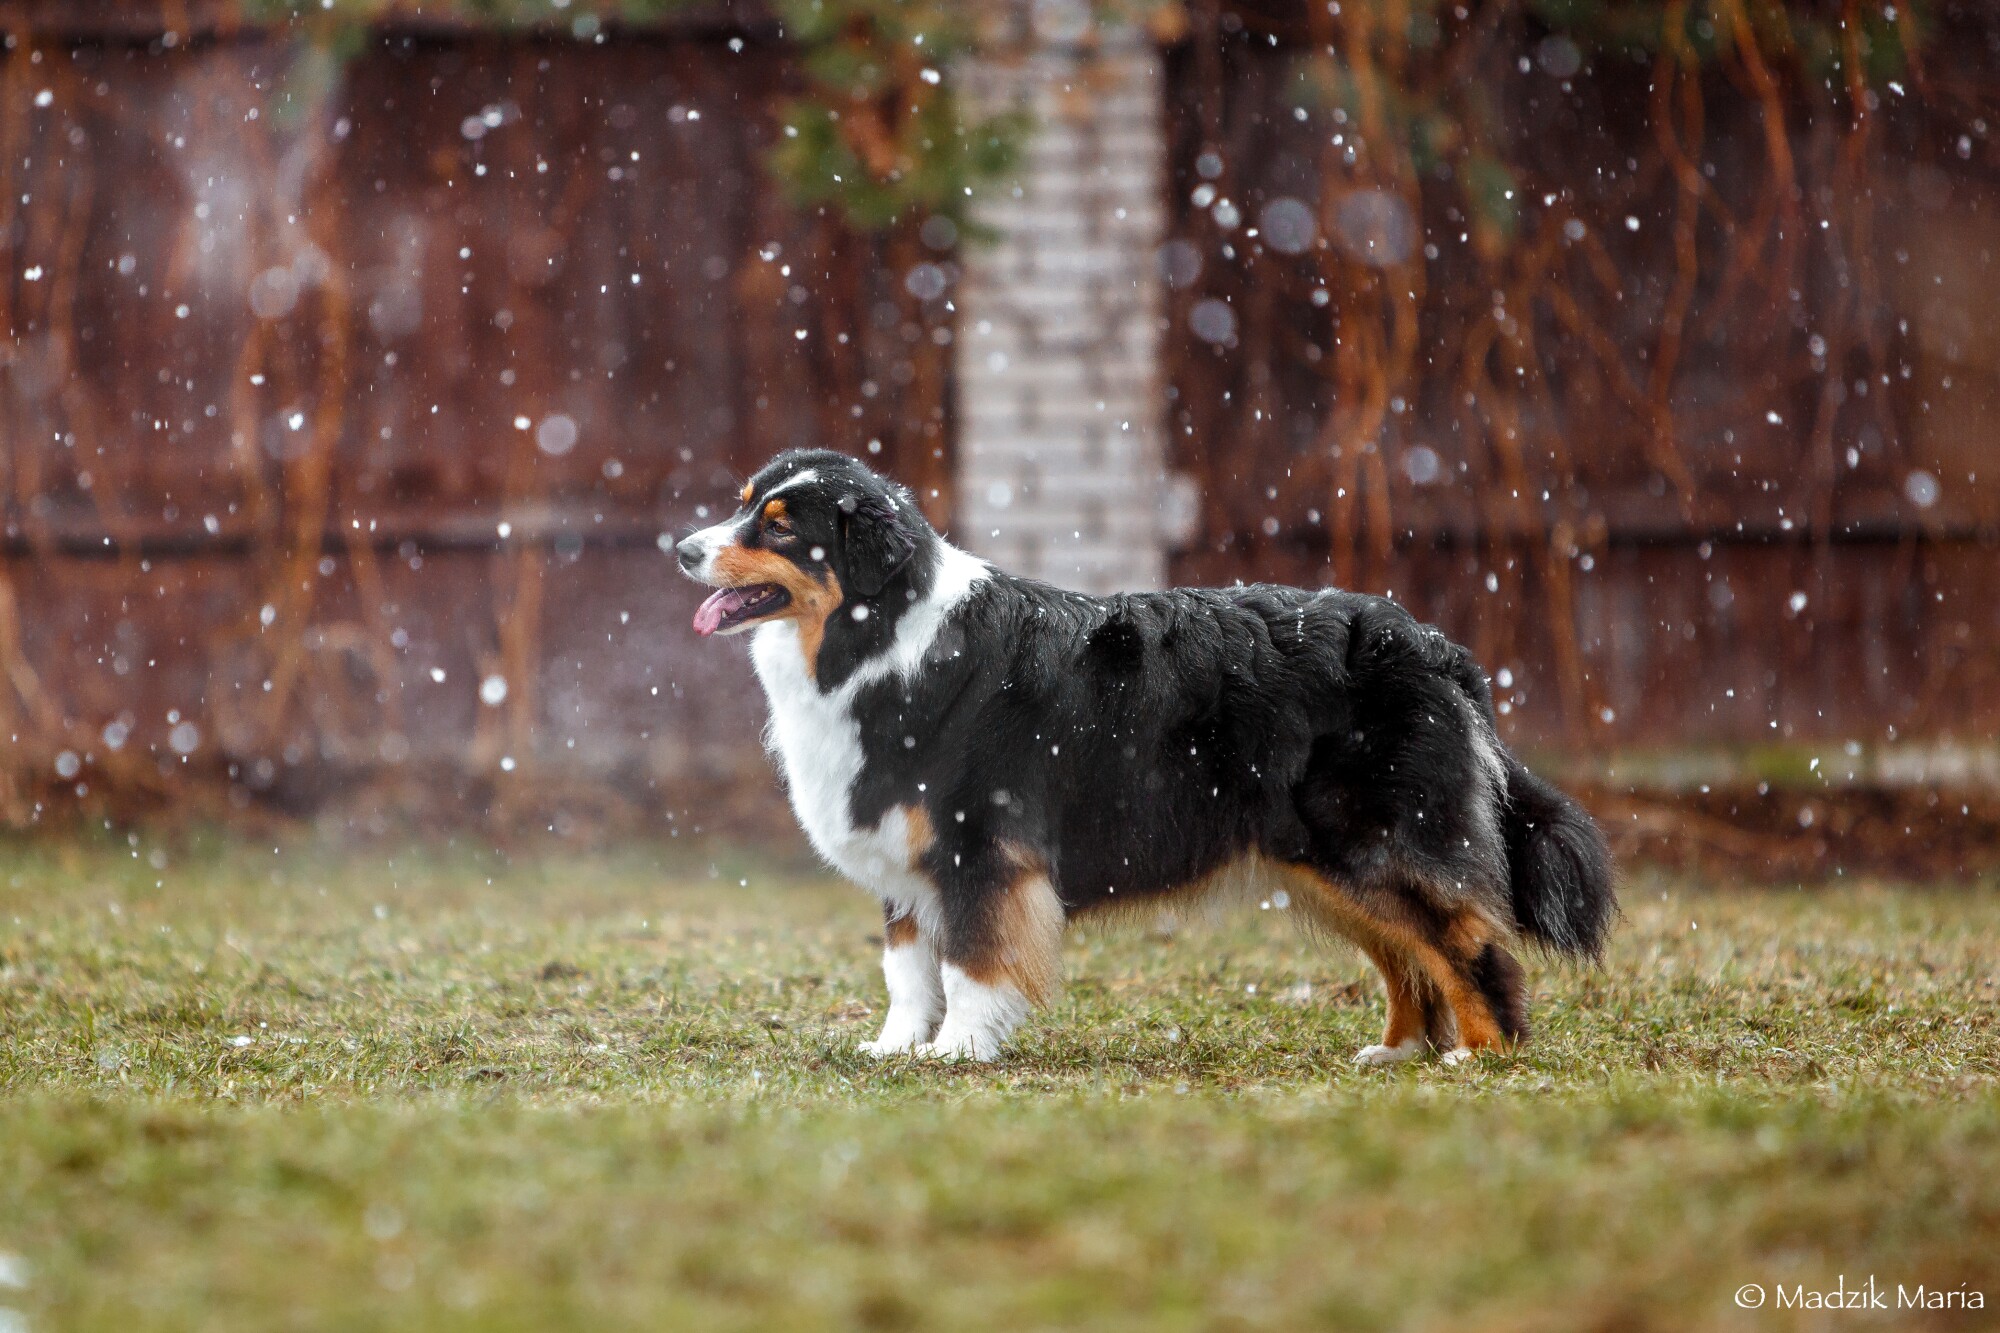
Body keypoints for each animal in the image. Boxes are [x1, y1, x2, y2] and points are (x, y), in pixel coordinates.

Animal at [680, 452, 1616, 1064]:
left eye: (780, 529)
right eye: (741, 505)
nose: (681, 549)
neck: (880, 637)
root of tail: (1432, 644)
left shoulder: (982, 844)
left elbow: (973, 959)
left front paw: (957, 1051)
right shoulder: (905, 859)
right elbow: (907, 968)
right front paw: (896, 1048)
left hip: (1379, 840)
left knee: (1467, 943)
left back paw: (1481, 1056)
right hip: (1323, 859)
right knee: (1407, 955)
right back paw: (1398, 1053)